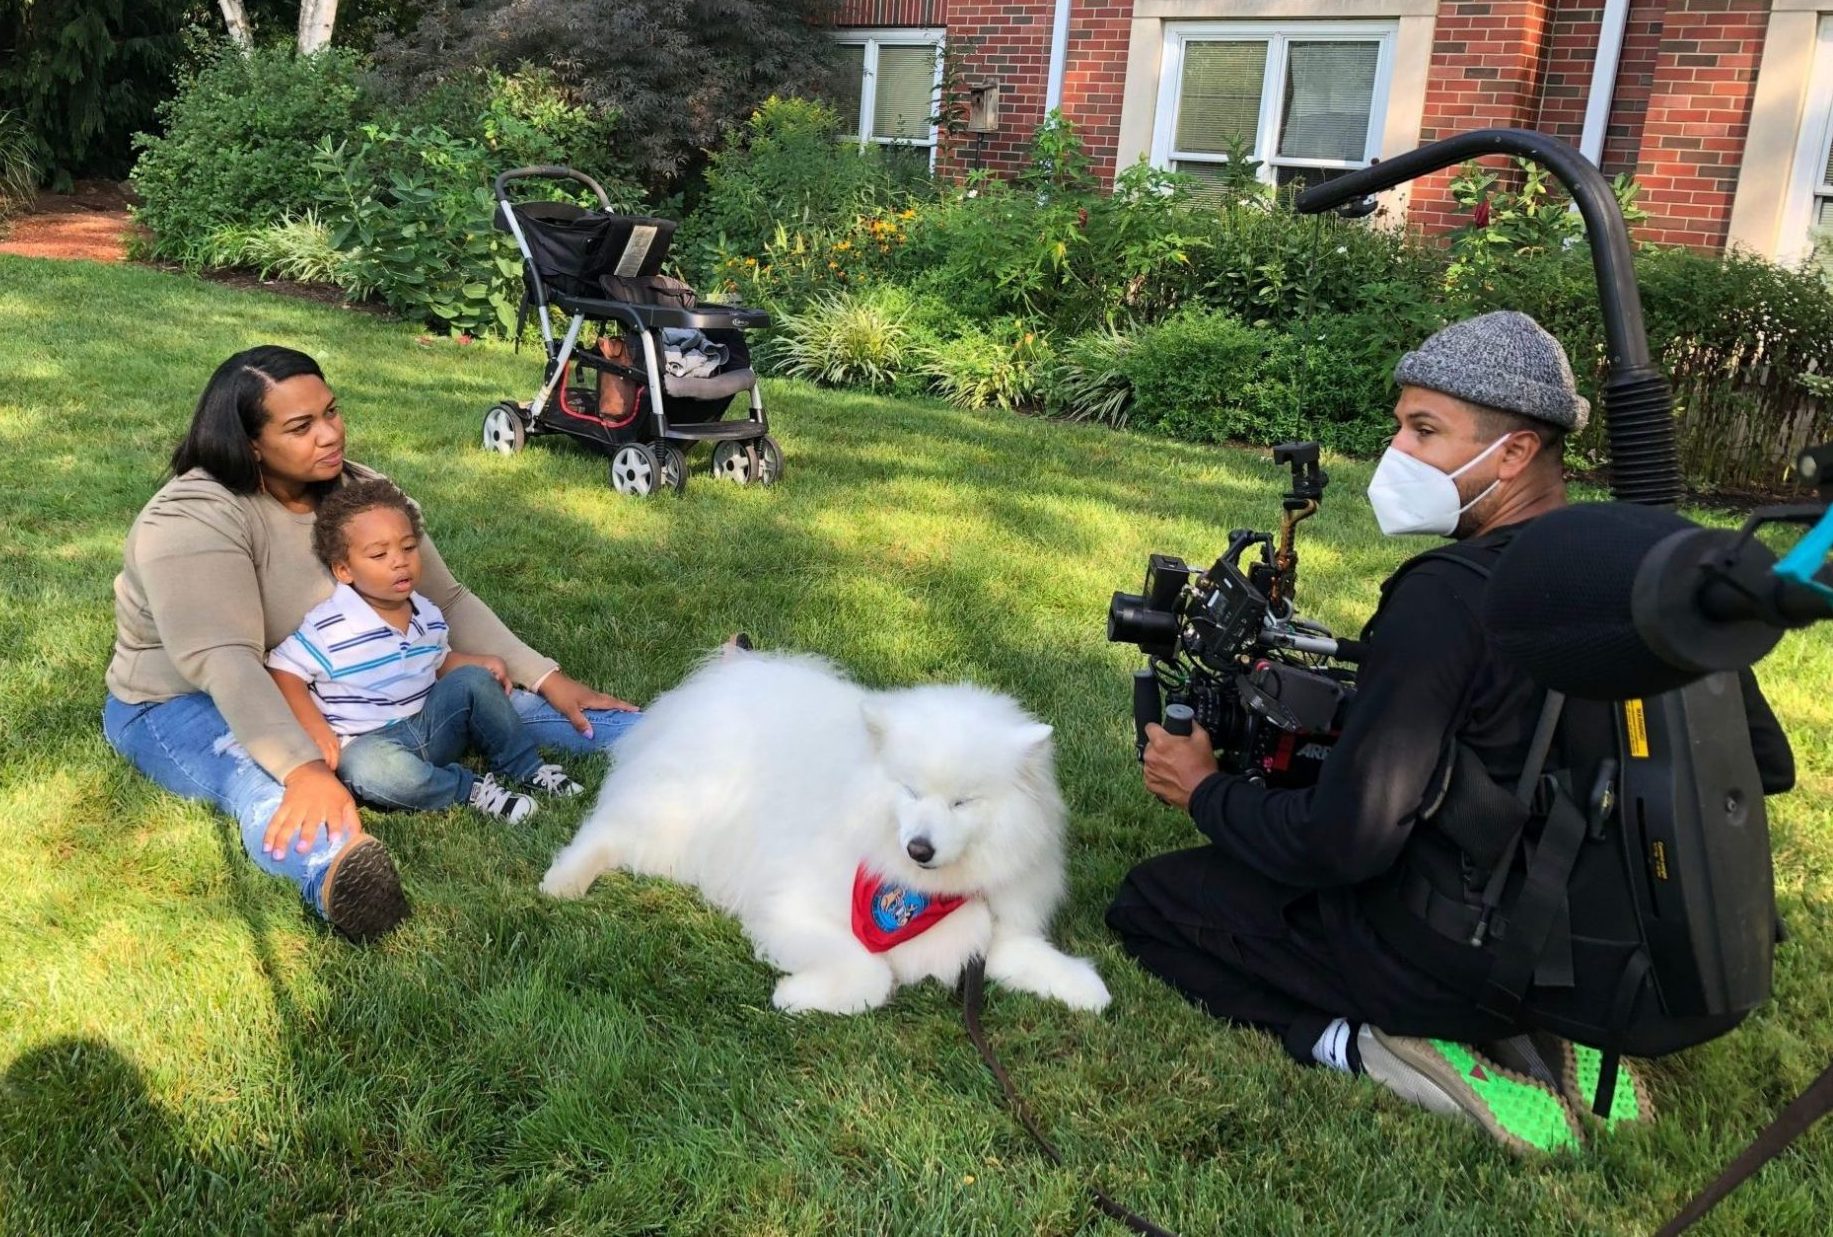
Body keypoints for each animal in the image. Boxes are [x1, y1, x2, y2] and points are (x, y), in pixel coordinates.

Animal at [535, 648, 1107, 1018]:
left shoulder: (989, 934)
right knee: (604, 832)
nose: (919, 848)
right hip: (676, 818)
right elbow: (873, 975)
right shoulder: (795, 909)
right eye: (910, 790)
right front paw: (795, 995)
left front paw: (1086, 988)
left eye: (962, 802)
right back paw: (563, 882)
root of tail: (729, 677)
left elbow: (1029, 956)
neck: (921, 894)